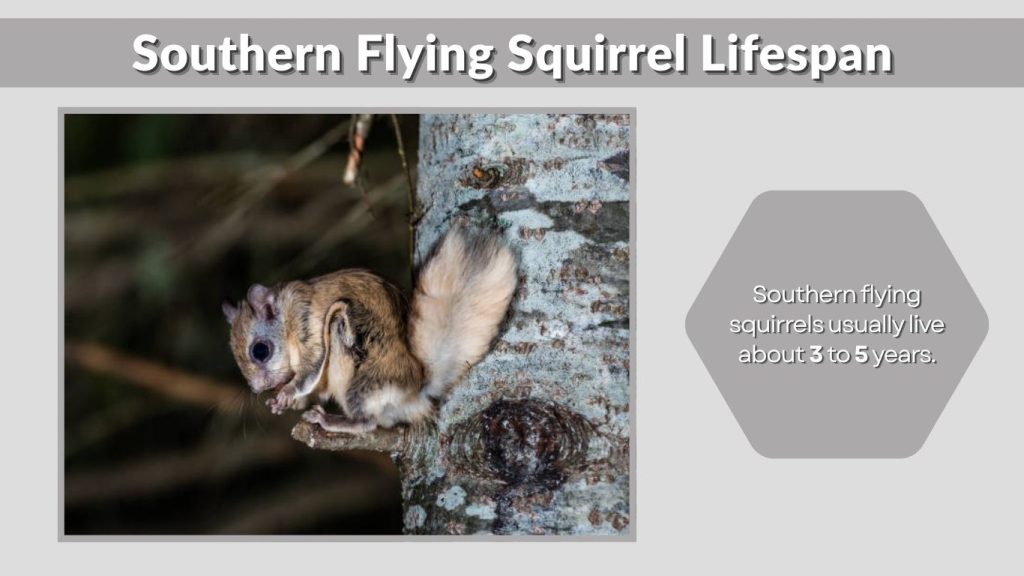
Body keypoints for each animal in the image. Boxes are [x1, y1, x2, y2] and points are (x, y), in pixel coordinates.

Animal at [221, 224, 518, 434]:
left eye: (260, 351)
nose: (257, 389)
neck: (285, 318)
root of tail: (415, 393)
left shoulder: (307, 326)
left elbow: (310, 369)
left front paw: (287, 393)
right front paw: (283, 403)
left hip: (358, 373)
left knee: (368, 423)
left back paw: (331, 420)